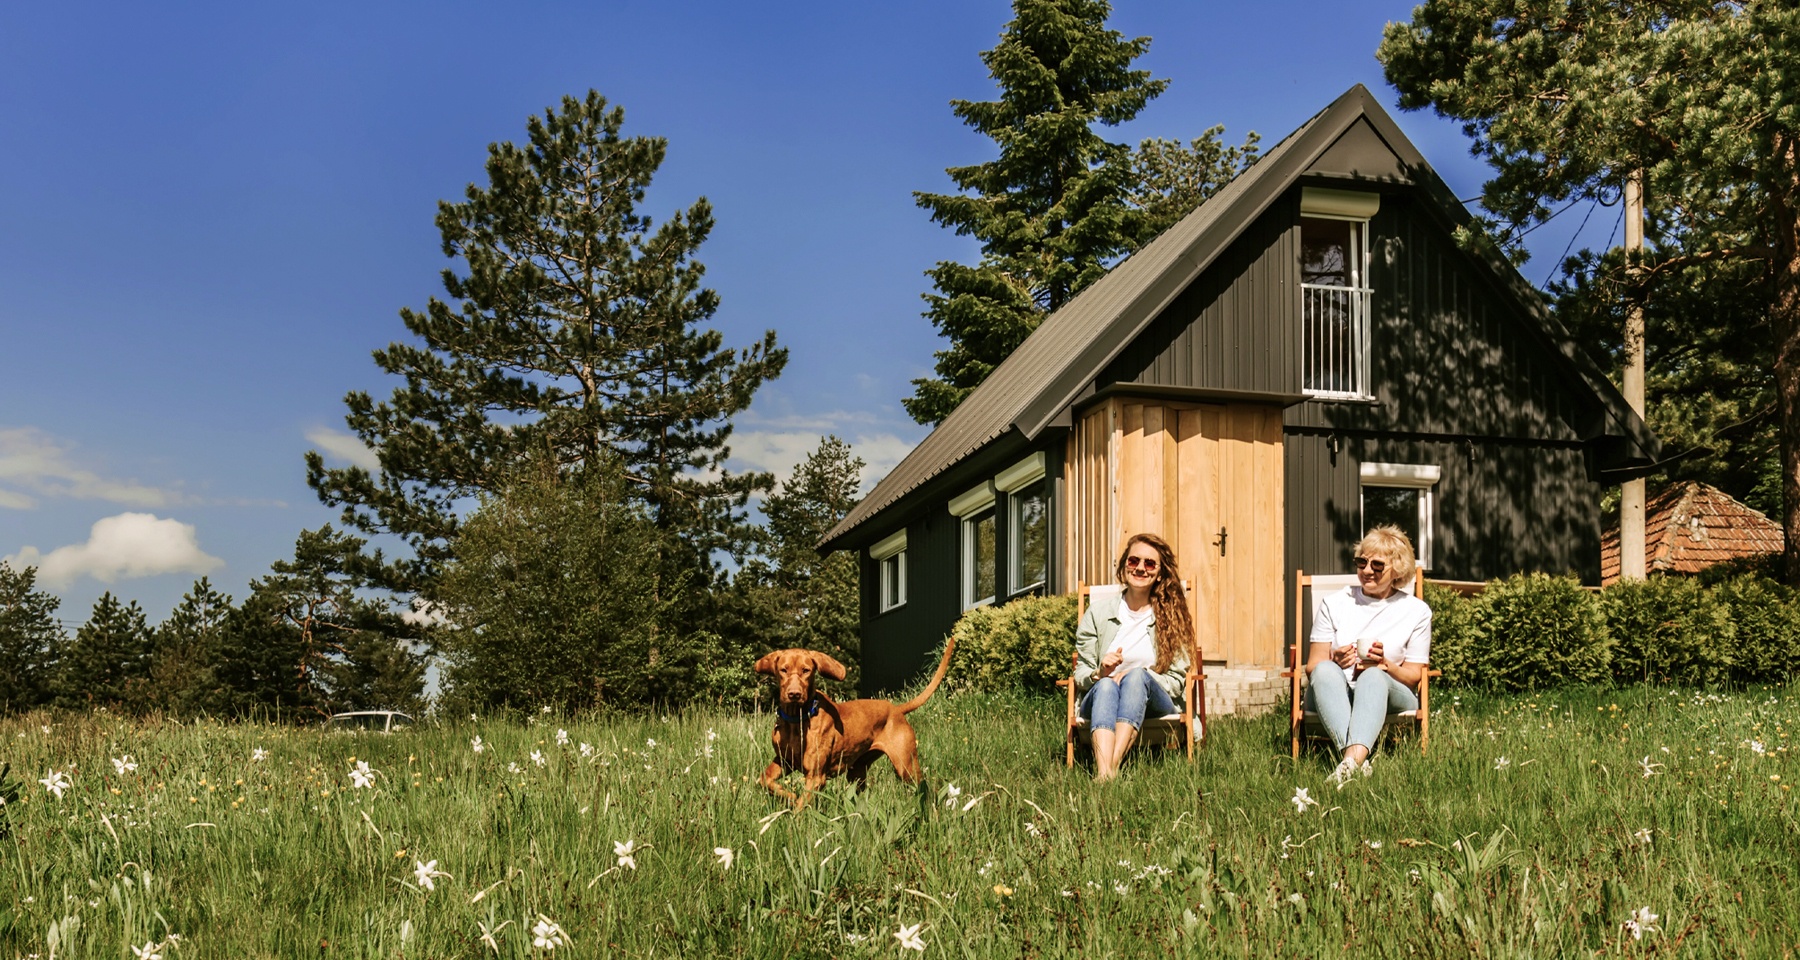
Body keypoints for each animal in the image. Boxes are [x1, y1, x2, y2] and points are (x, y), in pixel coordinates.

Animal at [756, 641, 957, 803]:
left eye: (806, 671)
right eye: (783, 670)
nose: (794, 694)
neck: (797, 719)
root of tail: (896, 709)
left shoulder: (815, 776)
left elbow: (800, 809)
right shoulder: (784, 761)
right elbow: (764, 779)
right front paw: (787, 795)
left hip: (906, 766)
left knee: (924, 789)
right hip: (857, 772)